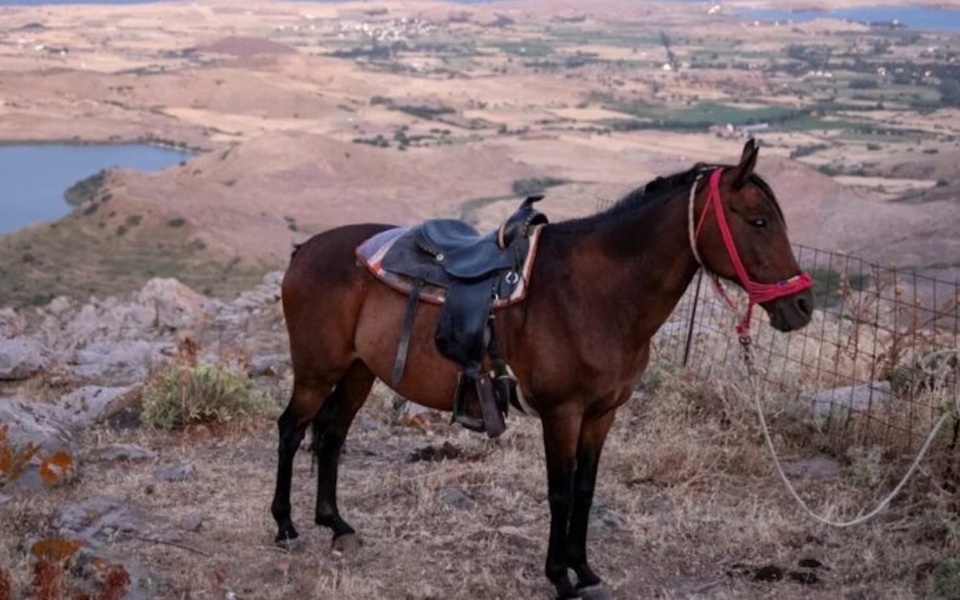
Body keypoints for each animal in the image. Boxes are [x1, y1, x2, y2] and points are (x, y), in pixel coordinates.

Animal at [274, 141, 812, 600]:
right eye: (759, 221)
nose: (802, 305)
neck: (597, 294)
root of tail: (305, 250)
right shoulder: (562, 413)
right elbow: (559, 492)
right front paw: (560, 578)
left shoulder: (601, 415)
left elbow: (586, 489)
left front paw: (585, 570)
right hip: (317, 371)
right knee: (291, 429)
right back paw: (285, 525)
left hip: (359, 371)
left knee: (331, 434)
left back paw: (336, 525)